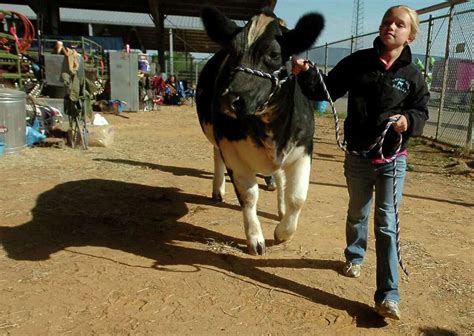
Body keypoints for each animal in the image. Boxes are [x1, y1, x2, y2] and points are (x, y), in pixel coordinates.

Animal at [194, 7, 324, 255]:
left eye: (274, 54)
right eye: (232, 52)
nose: (231, 99)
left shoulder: (304, 148)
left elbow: (297, 197)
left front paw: (283, 232)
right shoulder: (231, 150)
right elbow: (248, 195)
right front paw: (256, 239)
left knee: (281, 178)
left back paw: (281, 209)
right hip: (216, 138)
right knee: (217, 157)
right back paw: (218, 190)